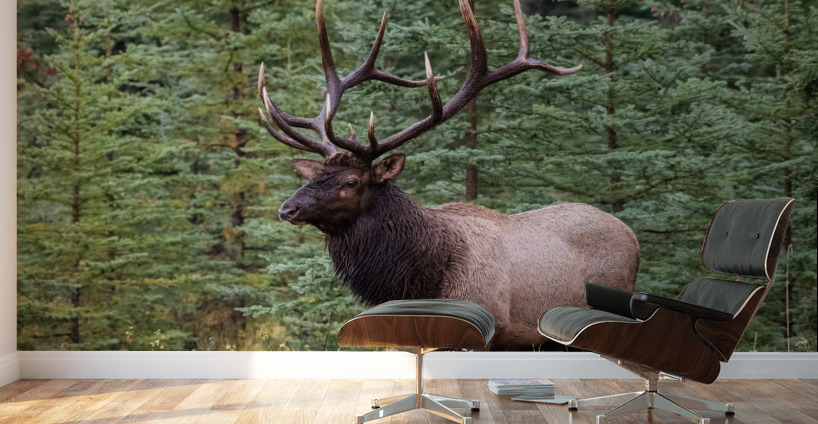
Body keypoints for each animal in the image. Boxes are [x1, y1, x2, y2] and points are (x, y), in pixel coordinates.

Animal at [258, 0, 640, 350]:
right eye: (314, 177)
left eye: (350, 182)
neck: (422, 282)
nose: (287, 209)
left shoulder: (493, 330)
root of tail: (633, 238)